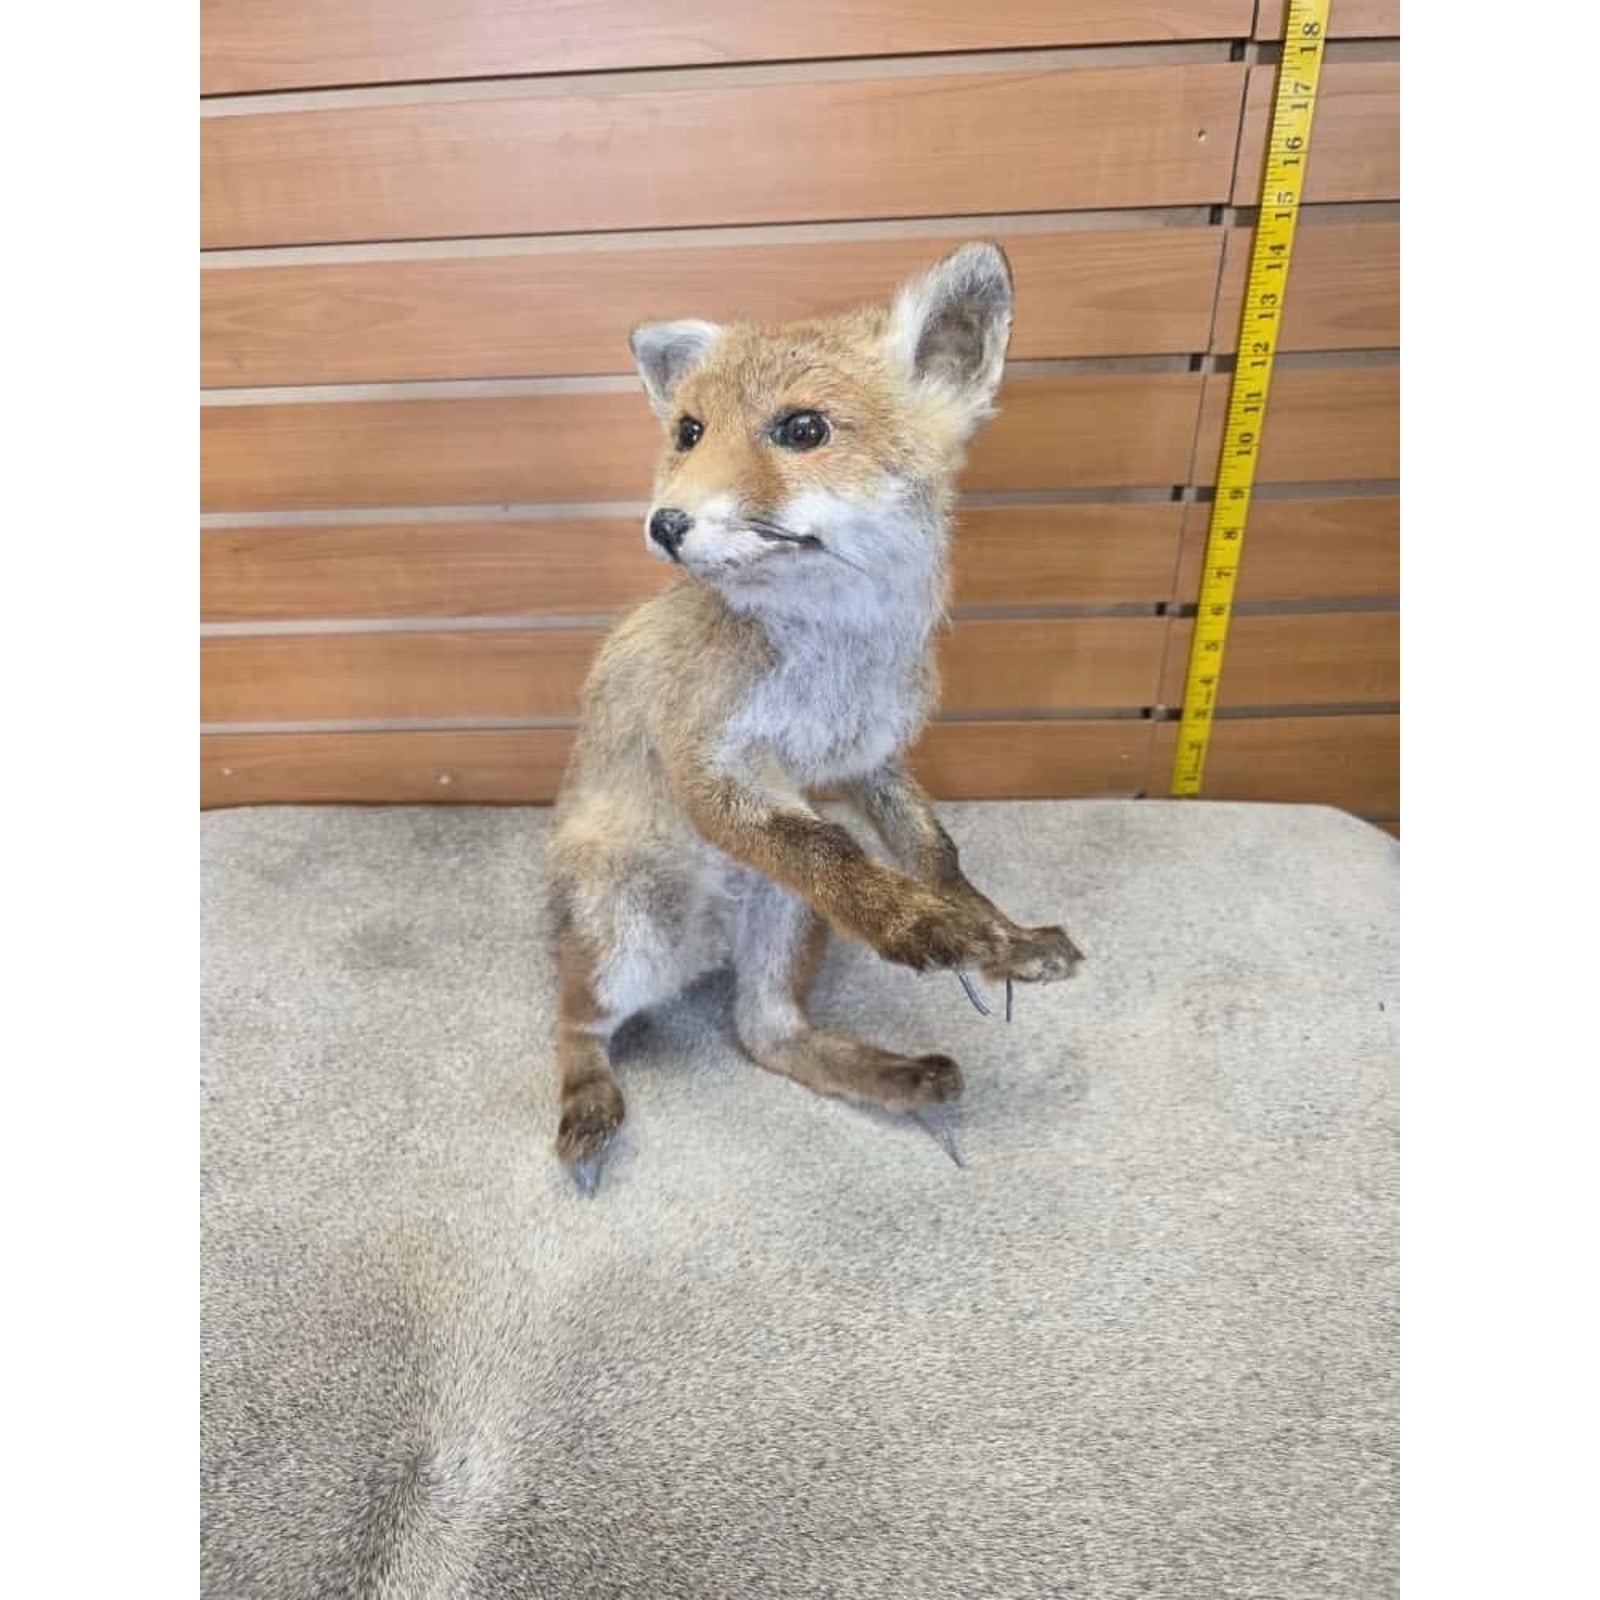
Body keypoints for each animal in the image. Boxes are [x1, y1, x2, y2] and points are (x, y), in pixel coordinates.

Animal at [545, 241, 1083, 1192]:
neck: (836, 664)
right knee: (574, 1022)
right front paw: (918, 924)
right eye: (688, 433)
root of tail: (707, 950)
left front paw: (997, 936)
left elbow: (936, 855)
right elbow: (827, 847)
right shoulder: (710, 762)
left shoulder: (867, 761)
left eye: (803, 430)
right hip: (625, 936)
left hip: (787, 921)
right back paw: (586, 1103)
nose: (665, 523)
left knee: (766, 1034)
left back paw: (902, 1079)